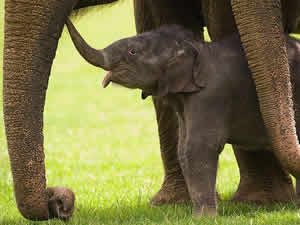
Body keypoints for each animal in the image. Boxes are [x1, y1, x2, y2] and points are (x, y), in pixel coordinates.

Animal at [1, 0, 300, 220]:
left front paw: (210, 216)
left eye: (133, 52)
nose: (58, 200)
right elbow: (184, 148)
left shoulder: (210, 99)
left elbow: (198, 147)